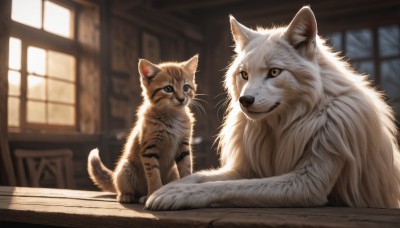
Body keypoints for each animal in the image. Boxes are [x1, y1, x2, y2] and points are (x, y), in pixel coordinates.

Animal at [88, 54, 199, 203]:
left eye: (186, 87)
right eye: (168, 89)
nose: (182, 99)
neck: (172, 117)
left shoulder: (183, 146)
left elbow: (186, 169)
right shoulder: (149, 149)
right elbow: (153, 175)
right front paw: (154, 192)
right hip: (125, 168)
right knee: (124, 189)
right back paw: (130, 195)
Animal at [146, 5, 400, 210]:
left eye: (274, 72)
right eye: (244, 74)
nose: (245, 100)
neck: (284, 125)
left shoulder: (309, 182)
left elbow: (228, 186)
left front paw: (177, 193)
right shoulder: (248, 168)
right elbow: (200, 176)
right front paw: (165, 187)